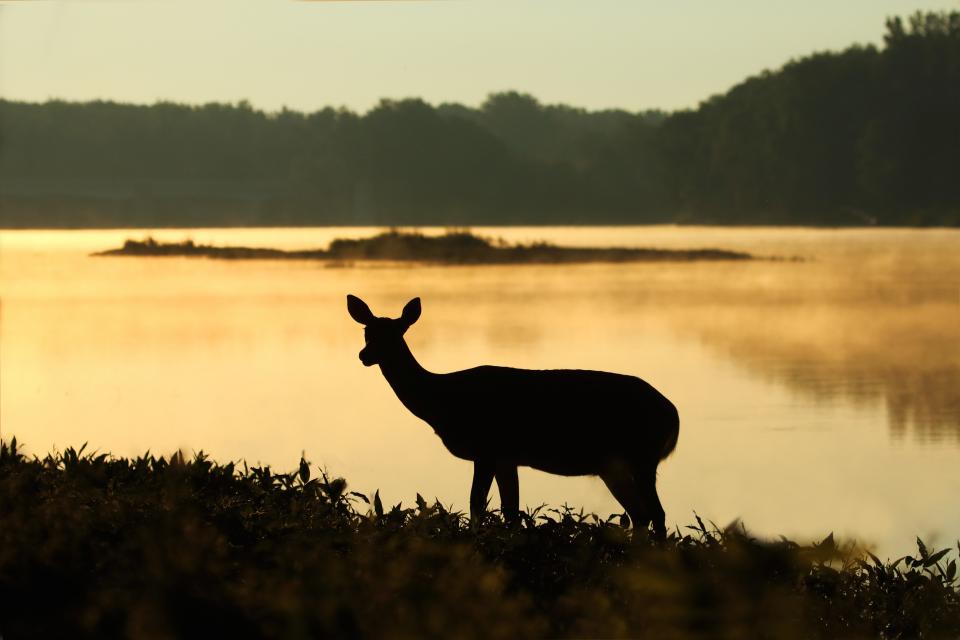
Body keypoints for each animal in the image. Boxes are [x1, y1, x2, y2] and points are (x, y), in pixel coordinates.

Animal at [346, 294, 680, 540]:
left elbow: (477, 505)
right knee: (641, 514)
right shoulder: (507, 457)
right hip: (613, 464)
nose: (364, 356)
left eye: (395, 334)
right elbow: (511, 512)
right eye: (366, 332)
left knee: (656, 513)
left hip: (642, 455)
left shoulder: (486, 447)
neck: (444, 401)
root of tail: (673, 415)